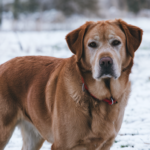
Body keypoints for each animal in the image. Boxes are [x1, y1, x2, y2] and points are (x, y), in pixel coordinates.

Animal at [0, 19, 142, 150]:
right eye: (92, 44)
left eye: (116, 42)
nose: (106, 61)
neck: (98, 97)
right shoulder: (62, 145)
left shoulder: (105, 144)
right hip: (4, 131)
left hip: (33, 136)